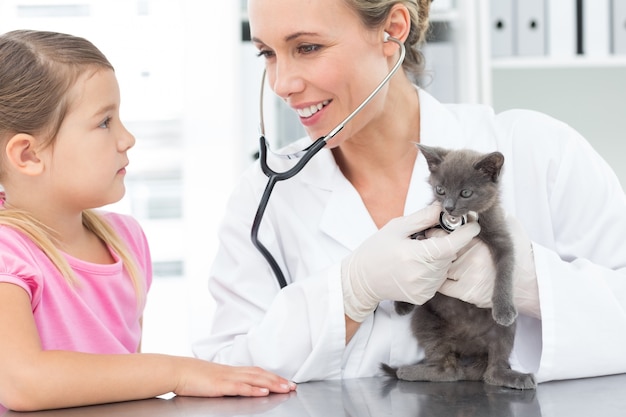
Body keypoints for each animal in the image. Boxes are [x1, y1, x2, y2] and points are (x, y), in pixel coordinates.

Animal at [382, 145, 532, 388]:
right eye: (440, 189)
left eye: (466, 193)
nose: (449, 207)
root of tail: (469, 351)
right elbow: (410, 247)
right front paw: (402, 301)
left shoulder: (502, 238)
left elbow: (506, 268)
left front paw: (503, 308)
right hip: (426, 320)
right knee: (448, 371)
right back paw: (410, 371)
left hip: (506, 331)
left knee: (491, 370)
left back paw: (514, 376)